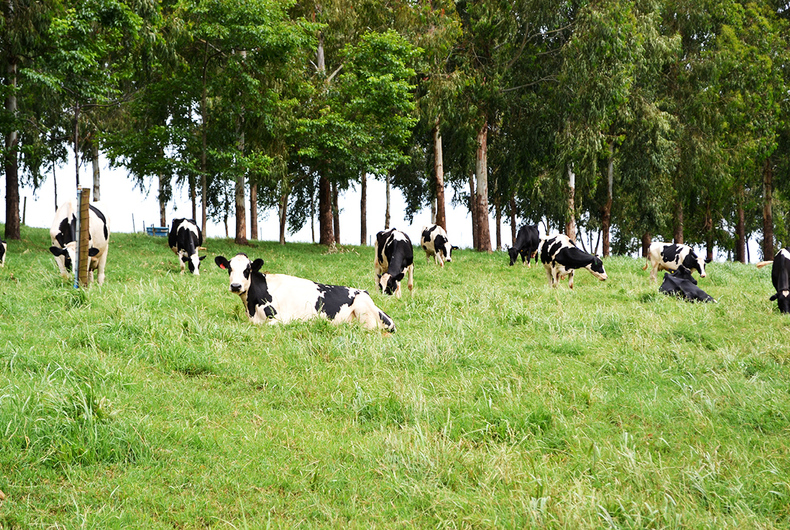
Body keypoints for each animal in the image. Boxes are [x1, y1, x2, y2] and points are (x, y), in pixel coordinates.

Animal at [215, 252, 396, 330]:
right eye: (229, 268)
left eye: (248, 270)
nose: (236, 286)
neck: (252, 307)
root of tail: (364, 292)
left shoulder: (281, 318)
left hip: (363, 310)